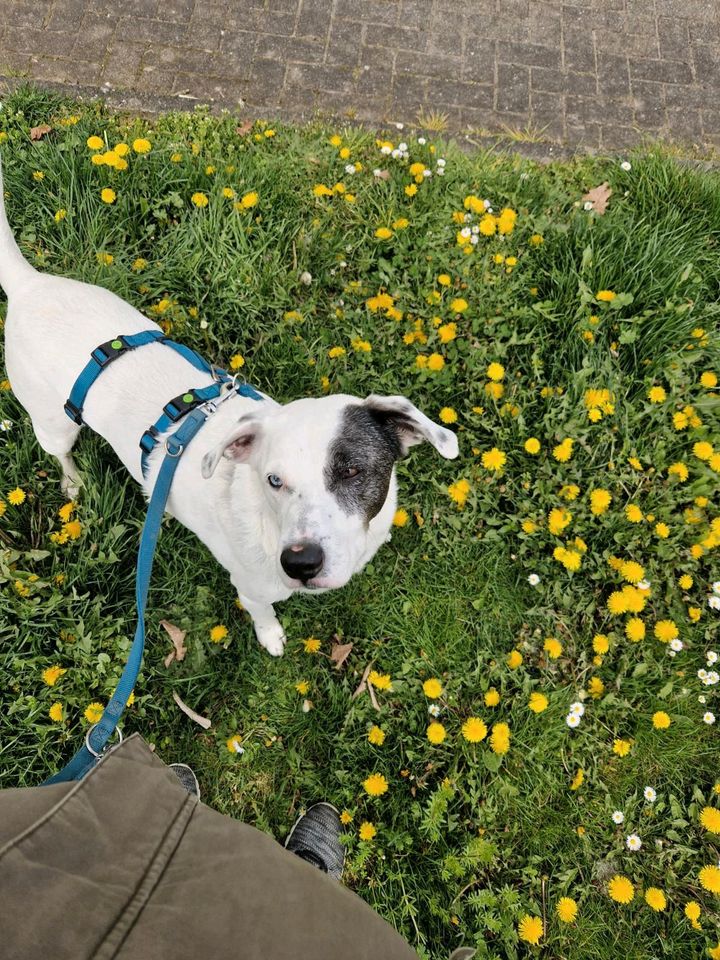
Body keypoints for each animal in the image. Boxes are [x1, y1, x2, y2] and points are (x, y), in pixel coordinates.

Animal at [0, 156, 458, 652]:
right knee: (61, 452)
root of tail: (28, 285)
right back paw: (73, 482)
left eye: (353, 471)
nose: (300, 564)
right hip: (54, 423)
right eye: (273, 480)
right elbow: (263, 614)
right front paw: (272, 636)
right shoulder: (252, 587)